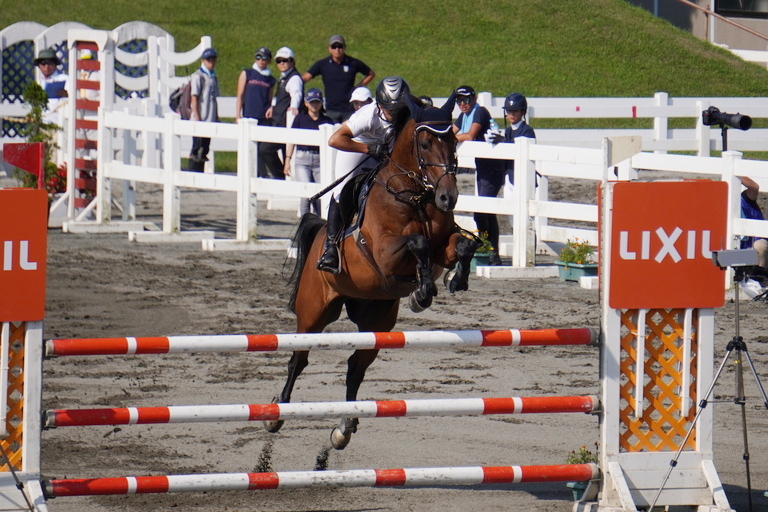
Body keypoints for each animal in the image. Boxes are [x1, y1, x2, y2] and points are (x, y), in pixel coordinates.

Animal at [268, 109, 476, 448]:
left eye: (453, 142)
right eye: (425, 144)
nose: (448, 198)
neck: (416, 196)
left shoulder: (443, 248)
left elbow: (463, 245)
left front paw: (452, 281)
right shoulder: (384, 254)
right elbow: (418, 242)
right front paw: (422, 293)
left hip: (376, 320)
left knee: (356, 367)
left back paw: (344, 427)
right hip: (313, 313)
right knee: (298, 360)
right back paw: (276, 415)